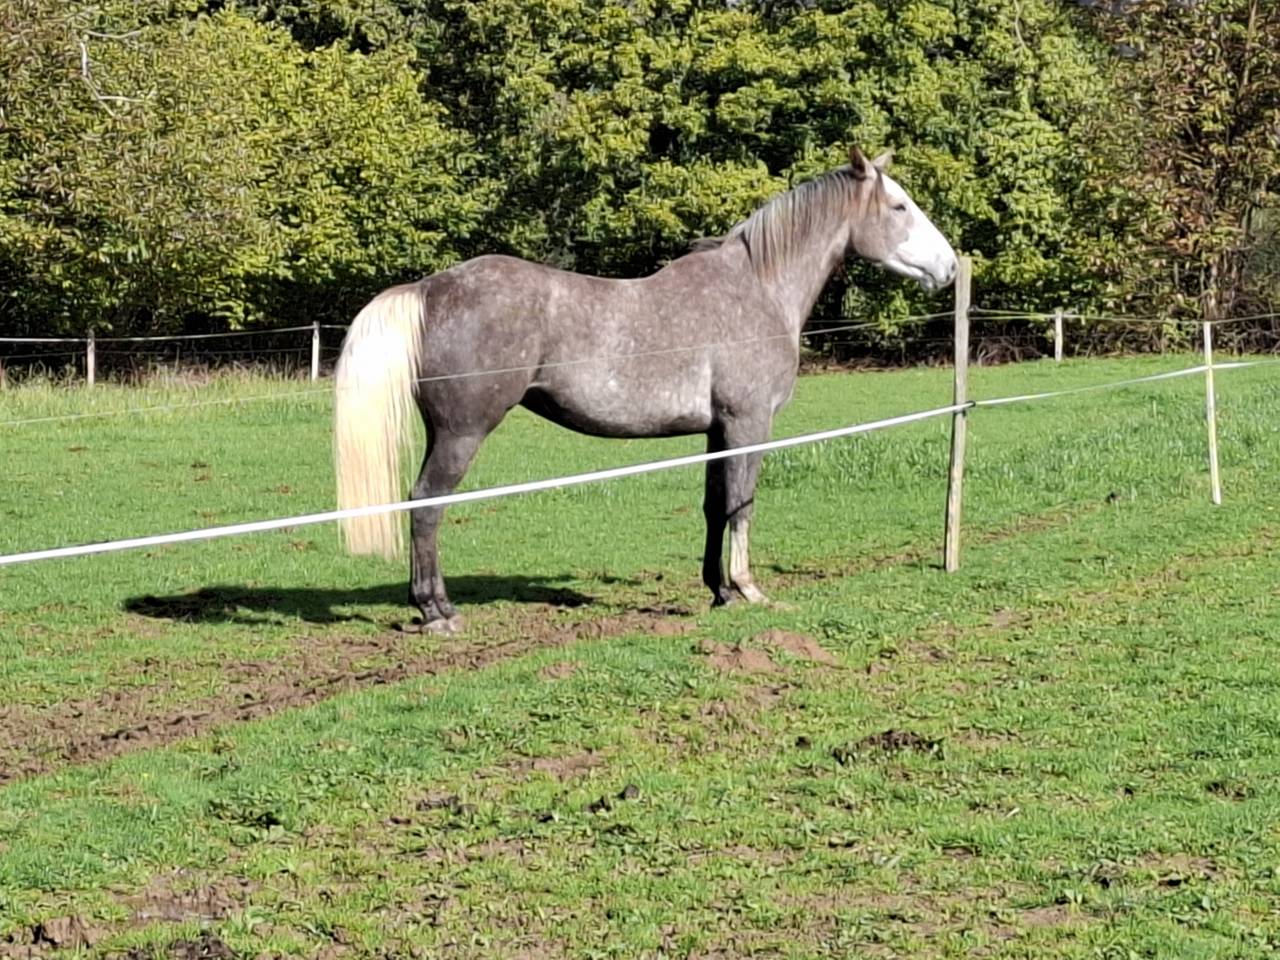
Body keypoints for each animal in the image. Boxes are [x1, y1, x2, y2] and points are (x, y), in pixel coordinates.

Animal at [333, 147, 958, 633]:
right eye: (899, 207)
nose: (950, 267)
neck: (758, 289)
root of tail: (429, 289)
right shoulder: (749, 423)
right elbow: (743, 504)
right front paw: (749, 589)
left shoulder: (717, 431)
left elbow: (714, 506)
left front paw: (719, 592)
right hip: (462, 434)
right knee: (426, 503)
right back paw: (436, 611)